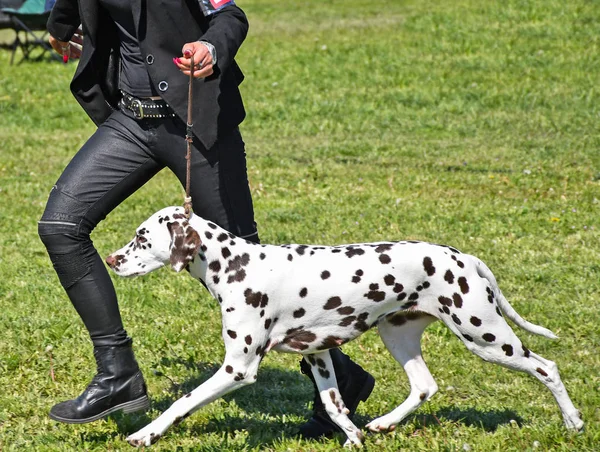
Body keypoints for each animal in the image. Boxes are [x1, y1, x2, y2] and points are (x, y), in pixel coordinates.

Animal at [105, 207, 584, 446]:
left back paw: (574, 422)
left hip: (485, 336)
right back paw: (385, 424)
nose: (111, 259)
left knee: (547, 367)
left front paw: (144, 434)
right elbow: (336, 408)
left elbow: (181, 404)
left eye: (142, 237)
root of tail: (463, 256)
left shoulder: (237, 369)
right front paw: (354, 438)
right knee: (424, 386)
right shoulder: (317, 354)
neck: (237, 265)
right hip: (399, 335)